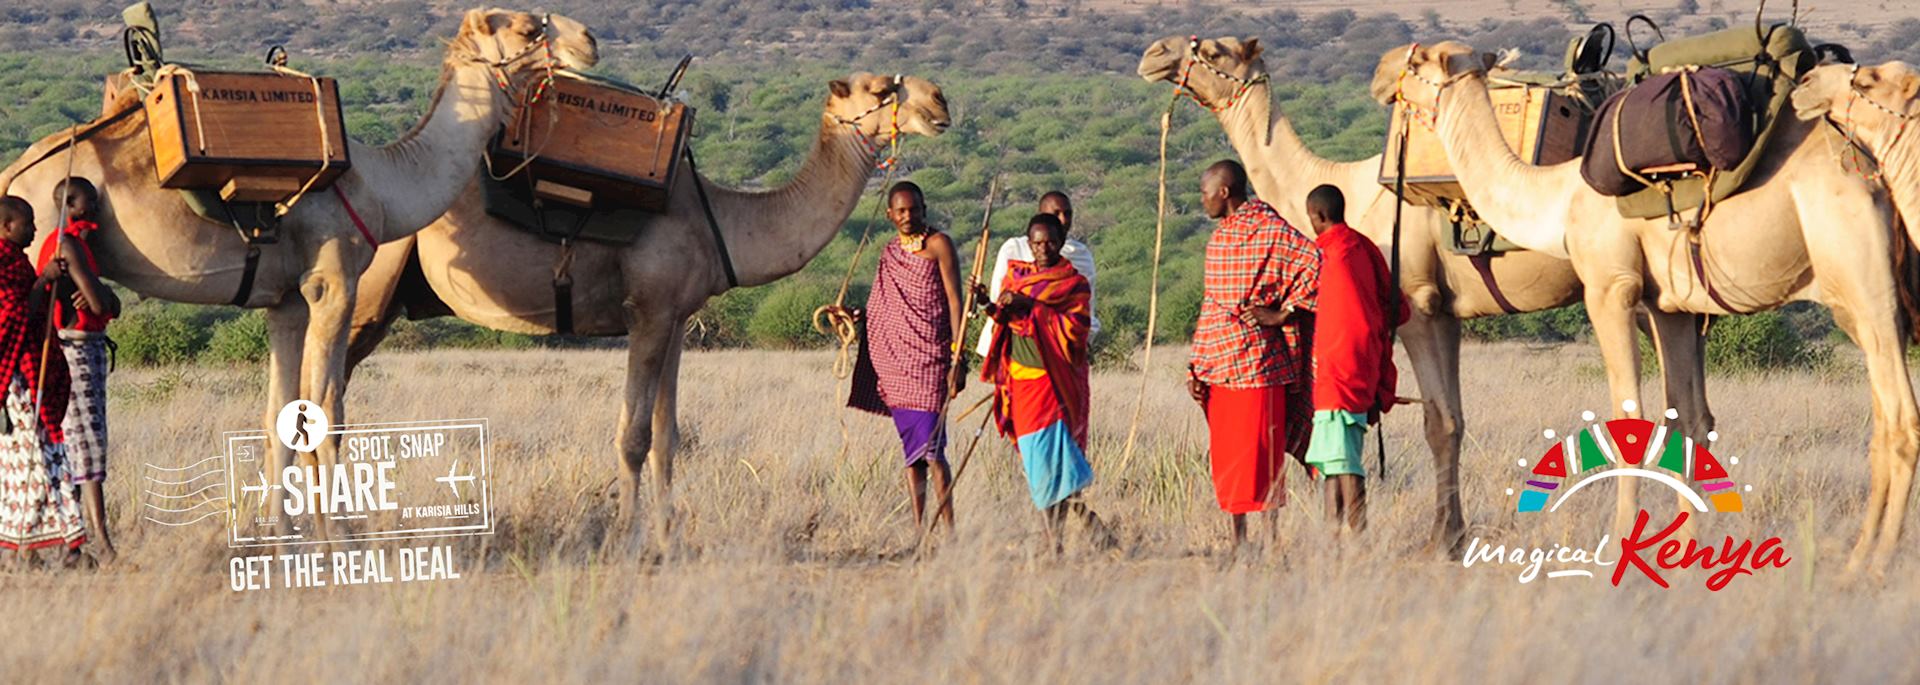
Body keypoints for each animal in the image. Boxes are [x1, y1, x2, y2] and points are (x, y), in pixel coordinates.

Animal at [0, 8, 599, 537]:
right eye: (525, 26)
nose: (589, 40)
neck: (385, 184)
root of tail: (13, 174)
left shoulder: (285, 301)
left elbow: (281, 418)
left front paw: (282, 538)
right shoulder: (332, 283)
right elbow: (327, 411)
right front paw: (340, 538)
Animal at [339, 70, 952, 537]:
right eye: (882, 89)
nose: (941, 101)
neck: (721, 220)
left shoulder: (678, 319)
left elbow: (667, 437)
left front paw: (665, 531)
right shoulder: (648, 310)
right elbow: (632, 436)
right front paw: (630, 535)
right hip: (366, 296)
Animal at [1136, 35, 1712, 556]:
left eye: (1215, 51)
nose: (1155, 54)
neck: (1348, 189)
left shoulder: (1416, 305)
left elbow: (1438, 422)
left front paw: (1442, 538)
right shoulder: (1450, 313)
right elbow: (1452, 419)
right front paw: (1451, 533)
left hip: (1633, 287)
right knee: (1697, 412)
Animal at [1382, 41, 1920, 575]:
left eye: (1416, 62)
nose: (1382, 76)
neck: (1559, 198)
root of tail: (1876, 176)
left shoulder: (1609, 287)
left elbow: (1629, 422)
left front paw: (1618, 543)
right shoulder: (1670, 308)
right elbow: (1689, 421)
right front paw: (1684, 547)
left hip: (1863, 281)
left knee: (1902, 418)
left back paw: (1875, 562)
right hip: (1855, 302)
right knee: (1881, 419)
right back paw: (1862, 552)